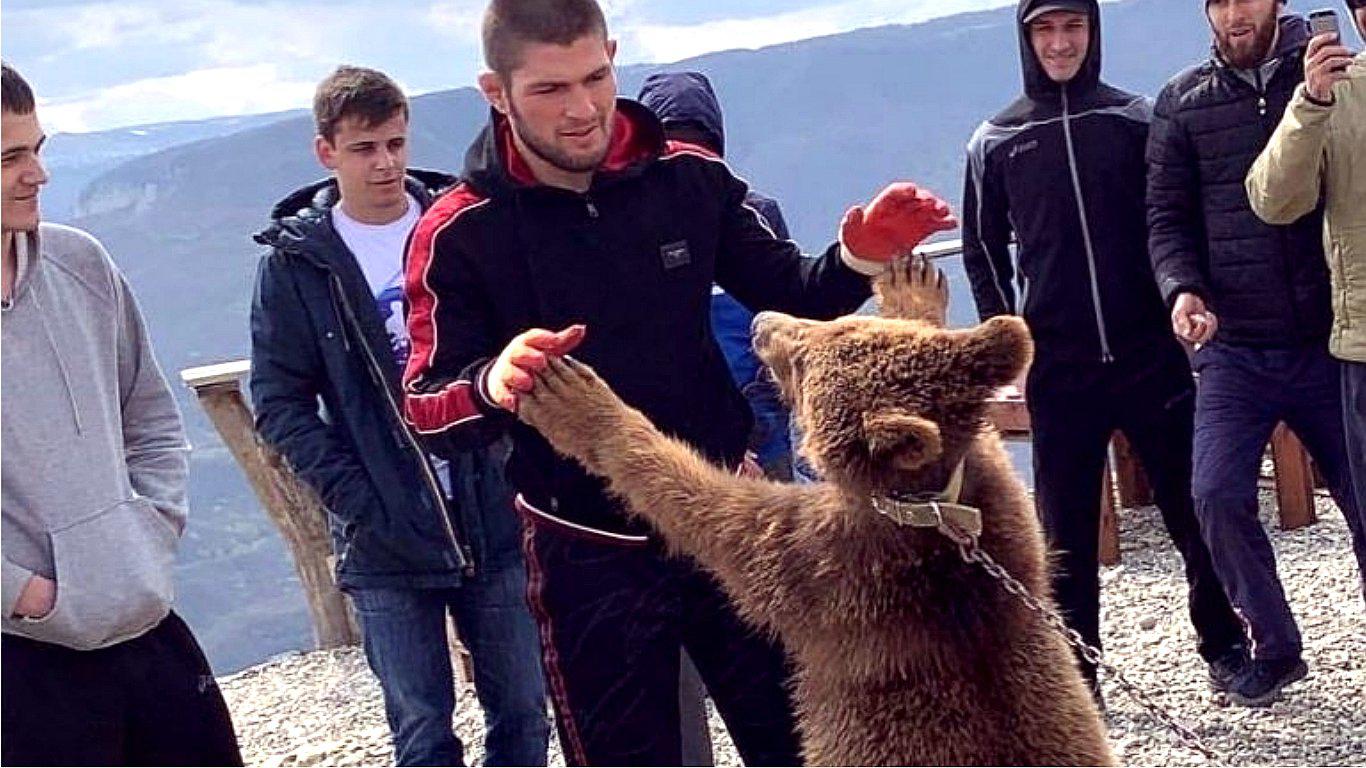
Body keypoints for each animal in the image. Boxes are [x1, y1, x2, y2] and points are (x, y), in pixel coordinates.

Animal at [516, 258, 1114, 766]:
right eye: (835, 323)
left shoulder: (825, 570)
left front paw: (573, 400)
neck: (926, 509)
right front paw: (914, 287)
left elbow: (701, 504)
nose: (763, 320)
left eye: (804, 358)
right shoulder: (1001, 509)